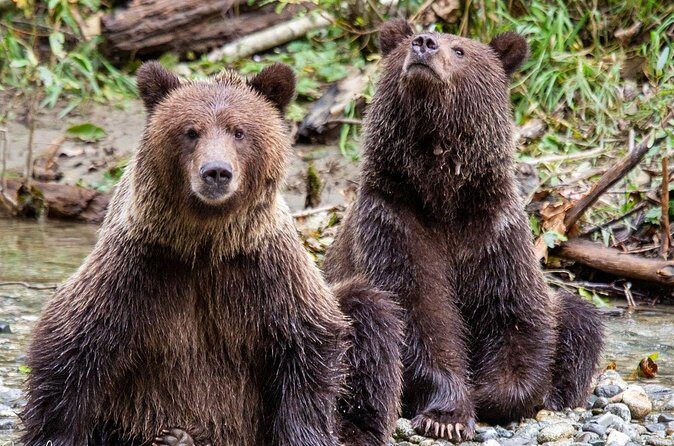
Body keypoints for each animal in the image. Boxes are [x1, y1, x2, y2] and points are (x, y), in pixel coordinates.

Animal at [20, 62, 402, 446]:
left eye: (239, 131)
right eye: (190, 131)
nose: (216, 171)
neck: (206, 242)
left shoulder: (265, 269)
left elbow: (308, 342)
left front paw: (305, 434)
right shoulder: (140, 266)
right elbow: (73, 344)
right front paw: (53, 434)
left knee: (369, 310)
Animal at [324, 19, 604, 441]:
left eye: (460, 50)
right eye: (410, 41)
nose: (424, 44)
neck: (442, 196)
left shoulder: (493, 231)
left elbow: (514, 313)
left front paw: (493, 394)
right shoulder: (394, 223)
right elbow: (419, 312)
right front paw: (447, 416)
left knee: (578, 316)